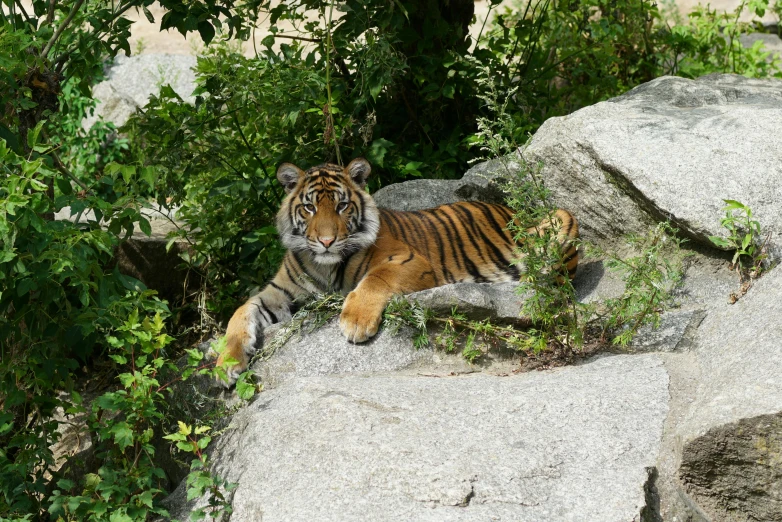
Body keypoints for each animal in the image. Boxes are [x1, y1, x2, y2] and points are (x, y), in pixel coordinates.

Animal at [217, 156, 580, 384]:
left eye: (342, 205)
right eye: (309, 207)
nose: (326, 241)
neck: (323, 265)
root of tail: (511, 210)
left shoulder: (410, 260)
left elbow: (375, 278)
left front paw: (355, 321)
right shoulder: (279, 293)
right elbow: (240, 312)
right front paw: (226, 365)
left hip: (561, 219)